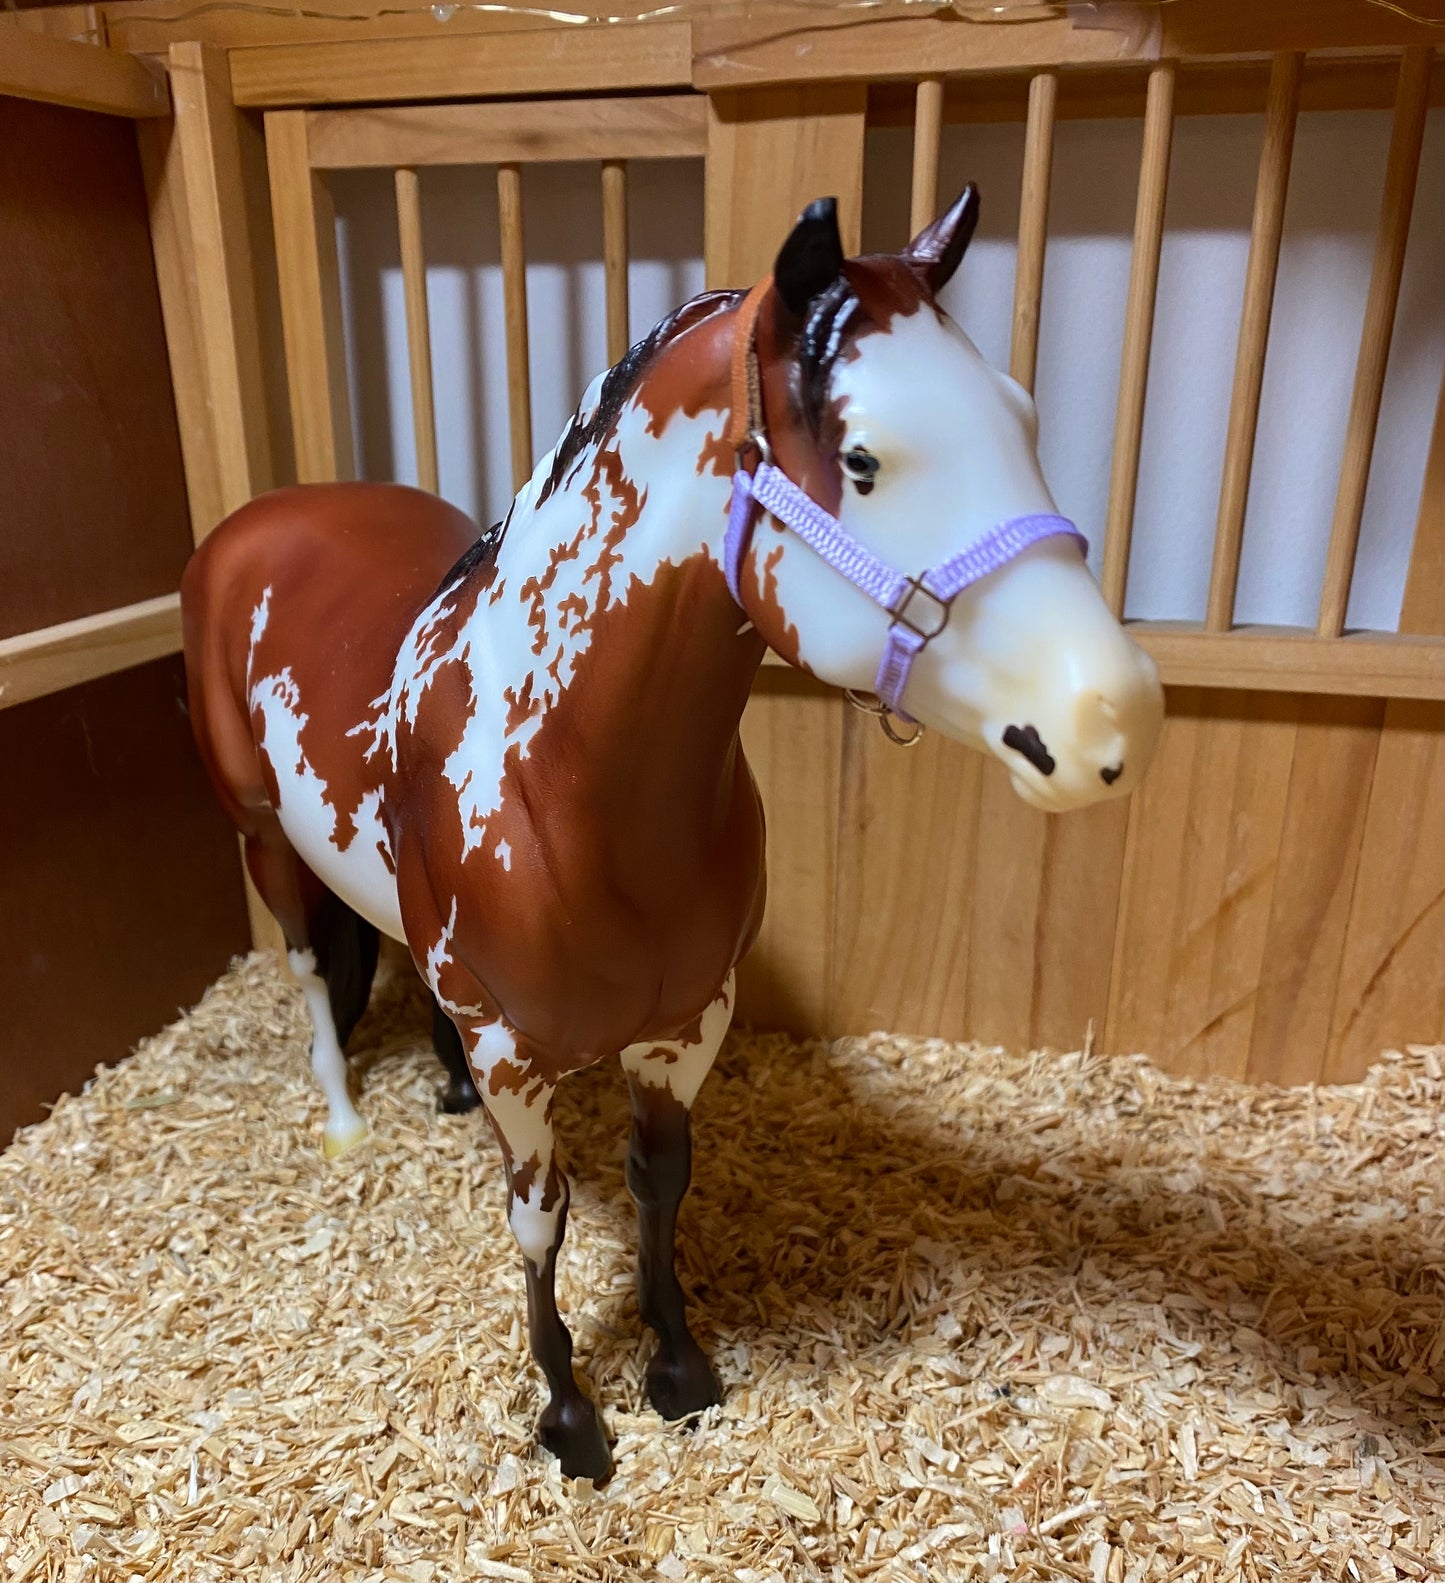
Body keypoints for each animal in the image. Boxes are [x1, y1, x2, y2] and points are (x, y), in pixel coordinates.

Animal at [183, 191, 1158, 1475]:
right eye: (862, 459)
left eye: (1023, 417)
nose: (1109, 713)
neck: (566, 781)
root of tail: (261, 519)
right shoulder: (515, 1051)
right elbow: (538, 1220)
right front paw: (567, 1414)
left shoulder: (685, 1023)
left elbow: (659, 1183)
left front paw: (679, 1366)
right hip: (260, 838)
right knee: (307, 969)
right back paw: (344, 1119)